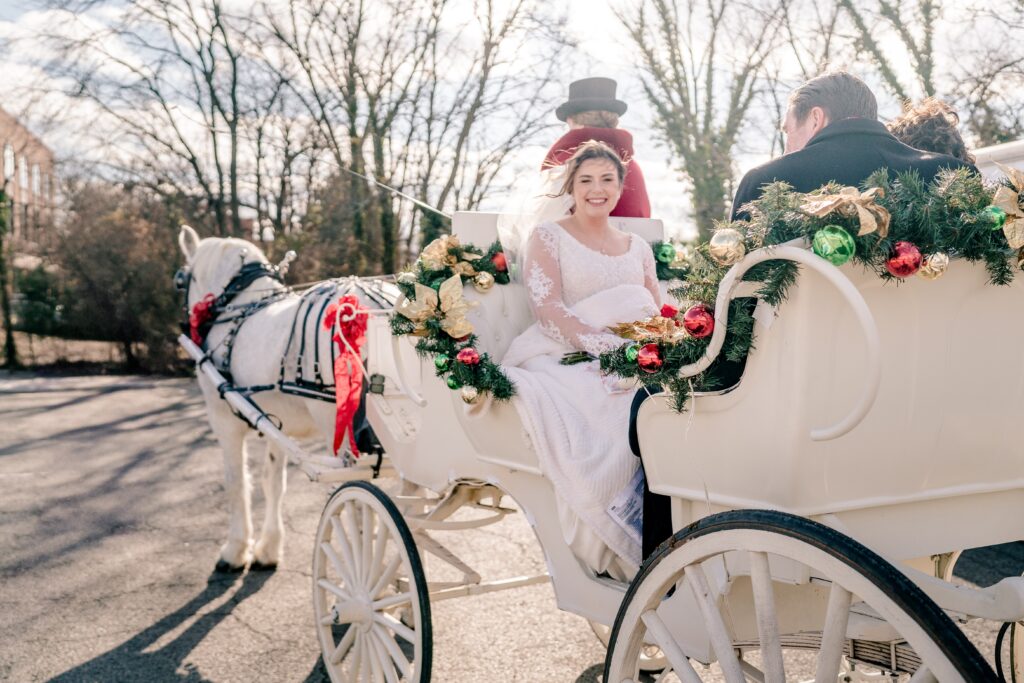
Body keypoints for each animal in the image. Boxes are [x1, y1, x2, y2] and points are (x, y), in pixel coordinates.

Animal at [178, 225, 346, 573]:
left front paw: (235, 549)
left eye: (182, 279)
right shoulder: (276, 425)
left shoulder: (224, 422)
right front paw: (268, 548)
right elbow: (273, 483)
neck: (237, 308)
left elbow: (235, 483)